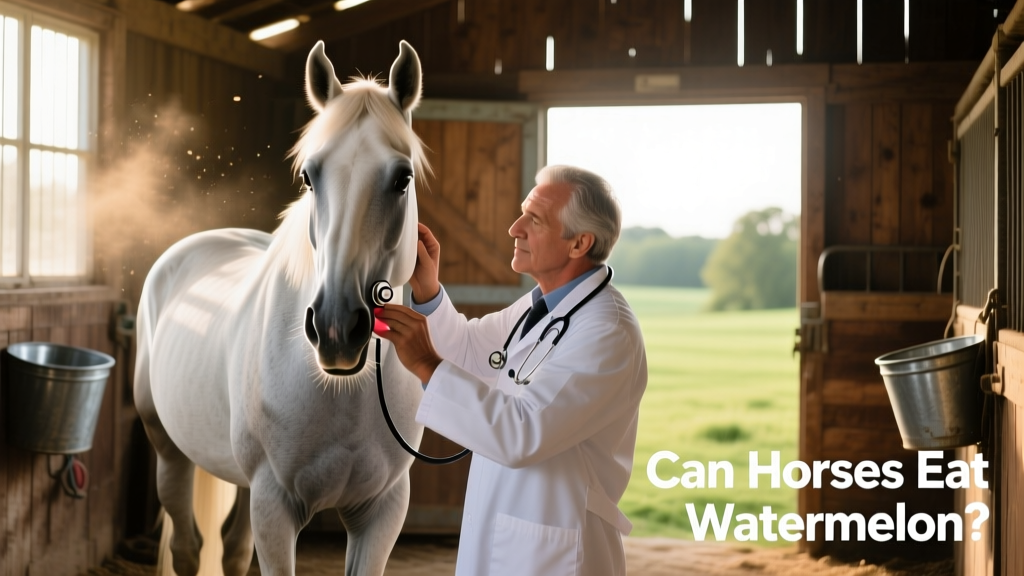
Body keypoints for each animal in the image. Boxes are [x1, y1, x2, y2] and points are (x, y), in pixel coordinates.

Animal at [134, 40, 428, 576]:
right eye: (309, 176)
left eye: (403, 178)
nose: (337, 329)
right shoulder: (274, 506)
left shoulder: (382, 510)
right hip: (170, 453)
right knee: (187, 547)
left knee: (231, 551)